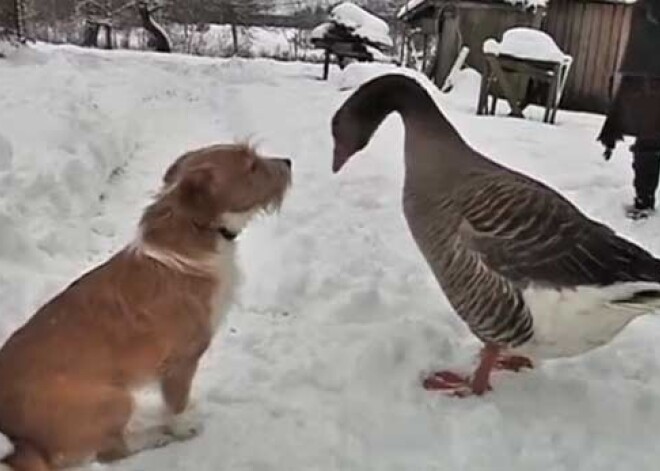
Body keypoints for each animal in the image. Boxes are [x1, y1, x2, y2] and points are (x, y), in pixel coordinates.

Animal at [0, 144, 292, 471]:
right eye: (250, 166)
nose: (288, 162)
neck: (195, 230)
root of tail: (19, 442)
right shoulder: (181, 361)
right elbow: (175, 404)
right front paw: (181, 427)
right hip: (115, 401)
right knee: (111, 451)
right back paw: (153, 436)